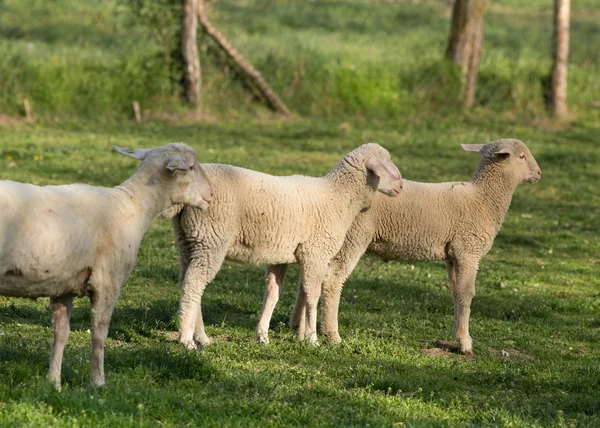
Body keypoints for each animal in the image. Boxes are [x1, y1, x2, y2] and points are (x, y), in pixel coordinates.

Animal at [0, 143, 214, 388]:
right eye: (191, 167)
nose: (211, 194)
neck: (133, 206)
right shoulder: (107, 282)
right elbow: (99, 334)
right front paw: (98, 382)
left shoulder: (63, 285)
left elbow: (61, 333)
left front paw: (54, 383)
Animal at [169, 142, 404, 350]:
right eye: (387, 165)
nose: (401, 187)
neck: (338, 197)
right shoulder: (316, 253)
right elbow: (312, 296)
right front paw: (312, 338)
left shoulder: (280, 256)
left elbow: (274, 294)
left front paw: (263, 336)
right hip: (211, 239)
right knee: (193, 284)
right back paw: (188, 339)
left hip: (188, 240)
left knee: (186, 281)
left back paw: (201, 337)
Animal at [292, 139, 540, 352]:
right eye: (521, 156)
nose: (539, 173)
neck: (483, 198)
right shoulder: (467, 250)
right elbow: (467, 293)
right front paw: (465, 342)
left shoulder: (453, 254)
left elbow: (456, 292)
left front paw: (456, 335)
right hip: (354, 238)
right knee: (332, 280)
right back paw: (331, 334)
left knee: (310, 278)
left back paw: (297, 327)